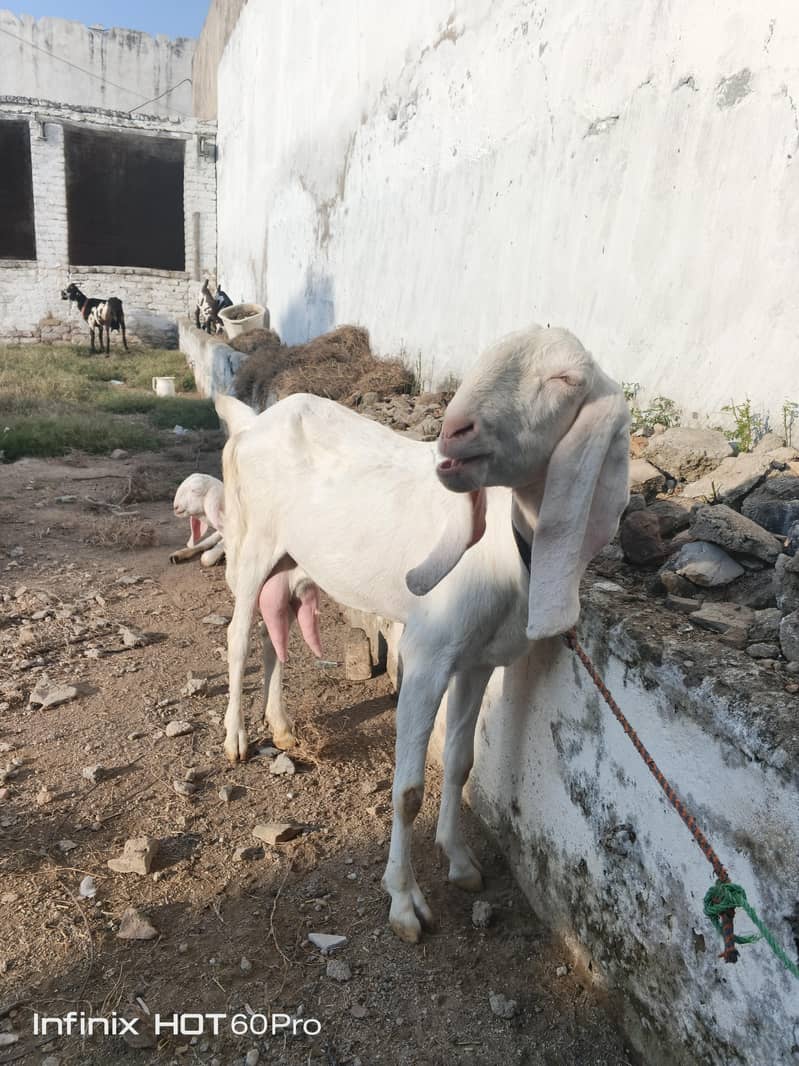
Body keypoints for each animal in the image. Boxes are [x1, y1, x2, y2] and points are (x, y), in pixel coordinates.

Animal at [216, 325, 630, 942]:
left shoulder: (480, 660)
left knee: (275, 632)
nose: (455, 431)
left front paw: (459, 861)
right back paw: (237, 739)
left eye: (565, 379)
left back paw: (282, 728)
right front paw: (405, 901)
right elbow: (409, 790)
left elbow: (460, 763)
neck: (506, 548)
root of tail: (252, 421)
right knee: (239, 637)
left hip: (290, 559)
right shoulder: (428, 655)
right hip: (251, 542)